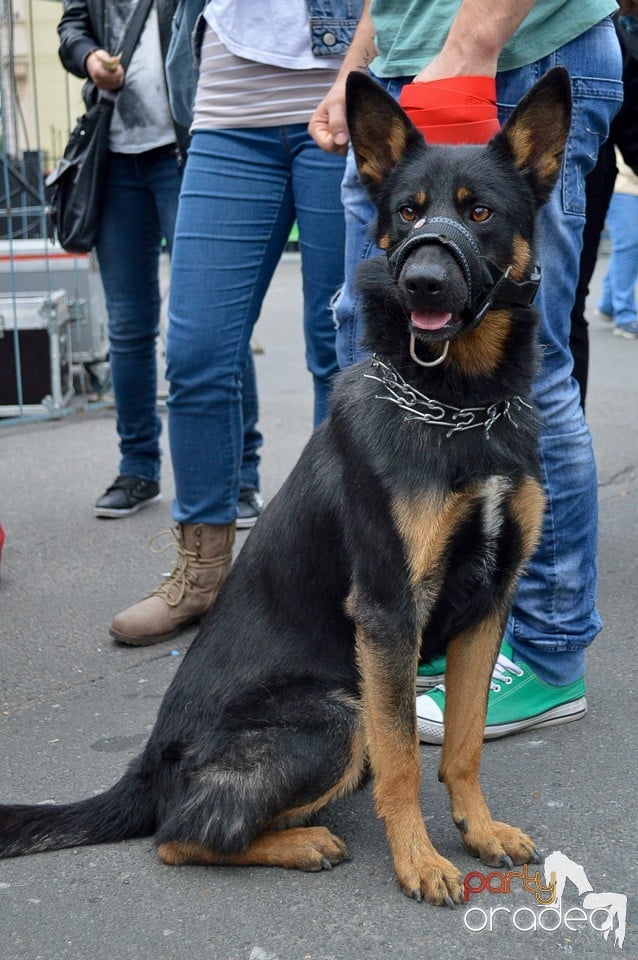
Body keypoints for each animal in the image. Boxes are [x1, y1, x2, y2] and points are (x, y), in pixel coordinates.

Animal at [0, 67, 568, 908]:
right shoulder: (389, 614)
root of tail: (146, 767)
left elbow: (462, 744)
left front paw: (478, 829)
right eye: (407, 212)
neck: (459, 405)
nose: (422, 281)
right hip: (338, 712)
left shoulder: (488, 604)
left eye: (480, 212)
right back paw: (301, 843)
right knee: (181, 835)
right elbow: (404, 760)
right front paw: (419, 859)